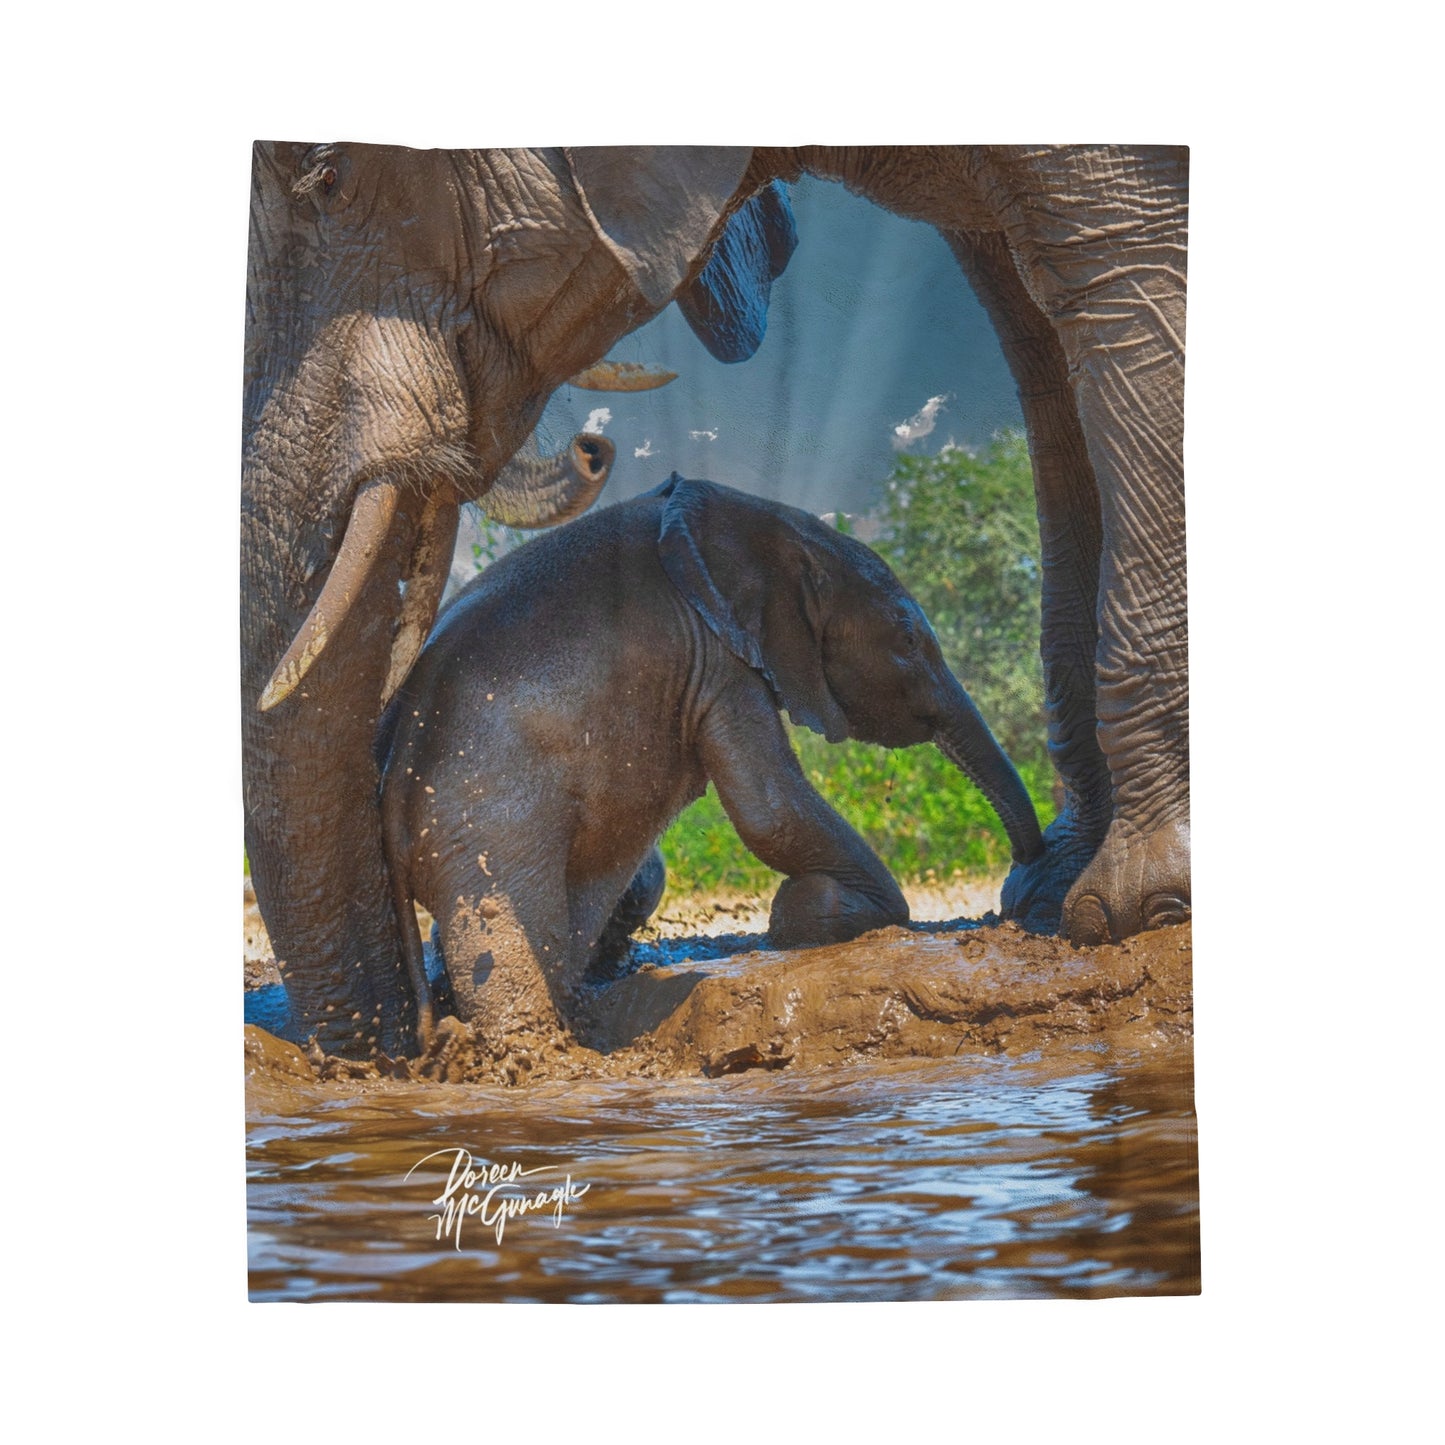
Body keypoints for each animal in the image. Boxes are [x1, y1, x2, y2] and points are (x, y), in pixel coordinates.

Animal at [377, 475, 1046, 1046]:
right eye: (908, 640)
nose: (1022, 879)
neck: (759, 524)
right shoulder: (719, 657)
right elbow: (769, 808)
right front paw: (836, 911)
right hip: (486, 829)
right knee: (512, 957)